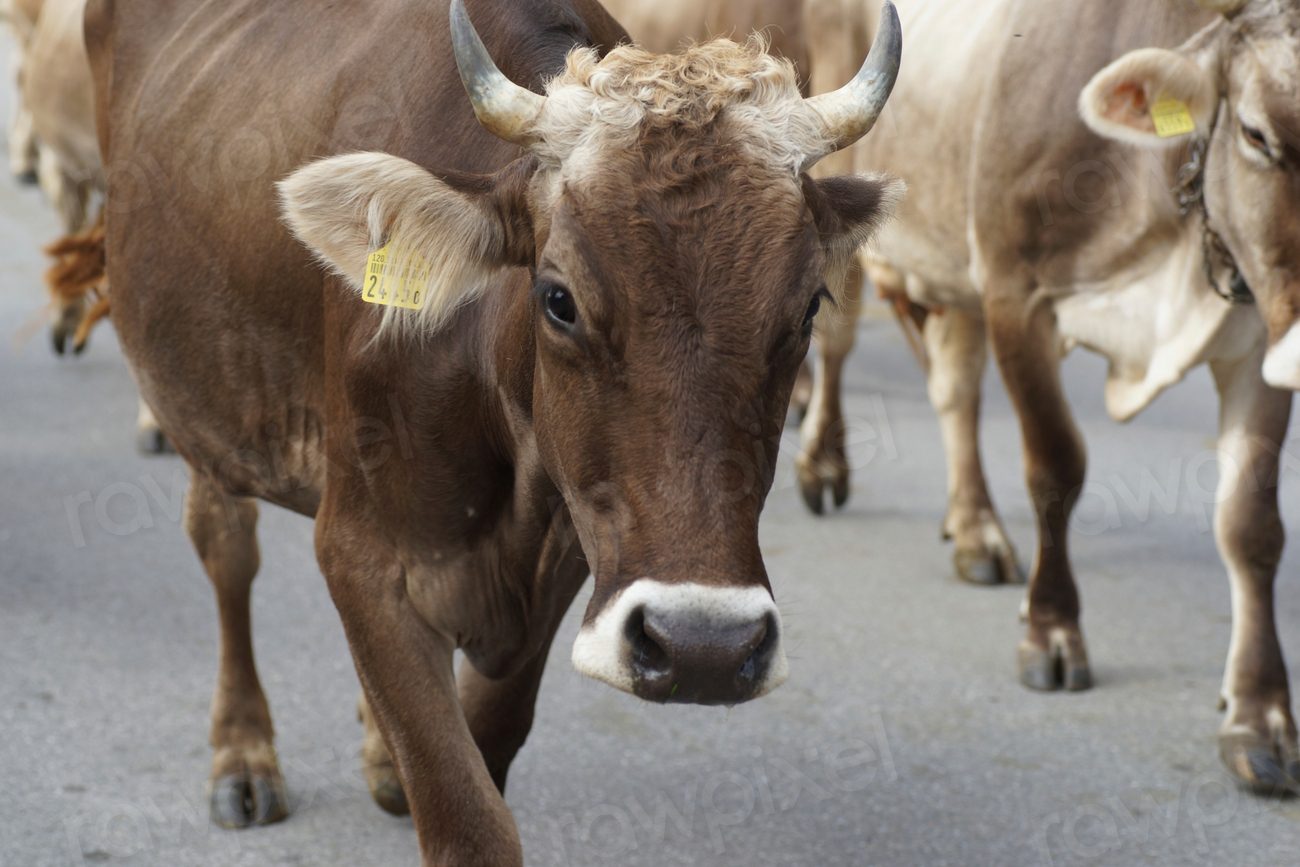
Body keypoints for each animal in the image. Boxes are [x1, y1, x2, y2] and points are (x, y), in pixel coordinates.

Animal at [89, 0, 904, 863]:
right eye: (558, 299)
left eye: (809, 306)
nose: (704, 647)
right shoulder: (360, 553)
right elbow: (464, 815)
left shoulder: (568, 556)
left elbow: (489, 738)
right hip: (199, 404)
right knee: (225, 547)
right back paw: (243, 754)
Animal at [800, 0, 1300, 795]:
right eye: (1256, 135)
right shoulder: (1017, 296)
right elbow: (1056, 467)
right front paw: (1052, 630)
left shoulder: (1260, 339)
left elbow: (1250, 526)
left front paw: (1258, 714)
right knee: (841, 344)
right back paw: (822, 465)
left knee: (954, 389)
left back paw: (974, 528)